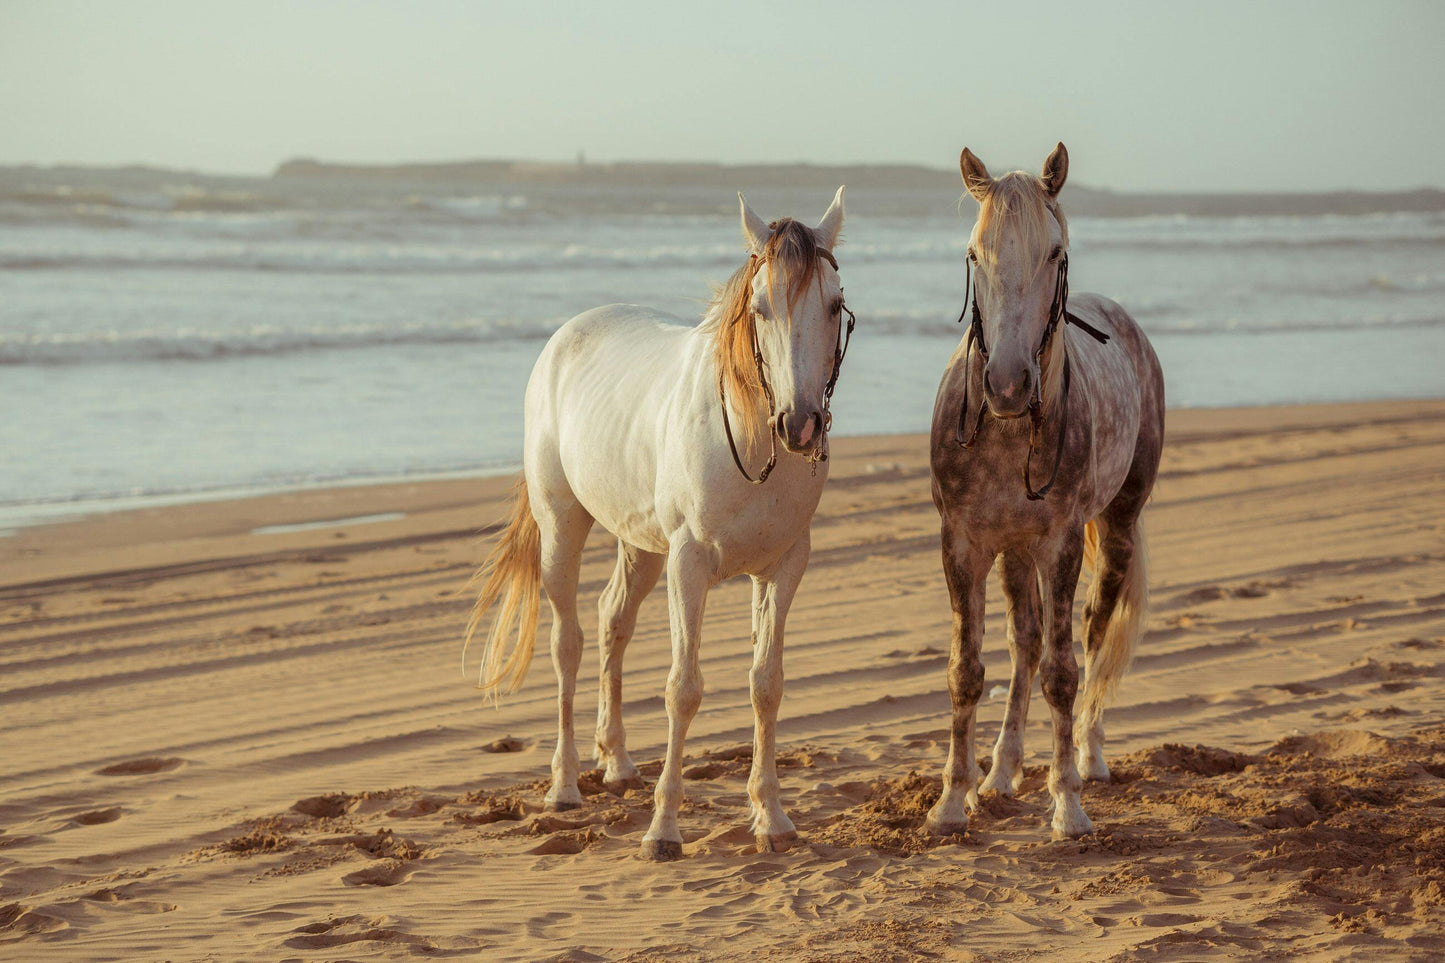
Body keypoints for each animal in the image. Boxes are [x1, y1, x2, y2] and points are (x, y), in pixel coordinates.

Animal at [464, 188, 853, 860]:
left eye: (833, 304)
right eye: (759, 308)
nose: (799, 424)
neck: (749, 436)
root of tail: (569, 332)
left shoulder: (783, 567)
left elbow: (766, 684)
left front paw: (771, 818)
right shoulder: (689, 564)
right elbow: (683, 689)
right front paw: (663, 830)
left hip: (642, 546)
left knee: (612, 619)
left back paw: (617, 764)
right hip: (563, 528)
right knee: (568, 642)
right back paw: (564, 785)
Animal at [926, 143, 1164, 840]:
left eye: (1055, 253)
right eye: (975, 254)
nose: (1006, 383)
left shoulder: (1060, 545)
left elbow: (1064, 673)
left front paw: (1068, 807)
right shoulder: (964, 544)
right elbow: (968, 671)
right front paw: (952, 801)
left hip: (1115, 530)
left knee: (1090, 637)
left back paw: (1088, 756)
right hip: (1013, 550)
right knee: (1025, 642)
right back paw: (1001, 773)